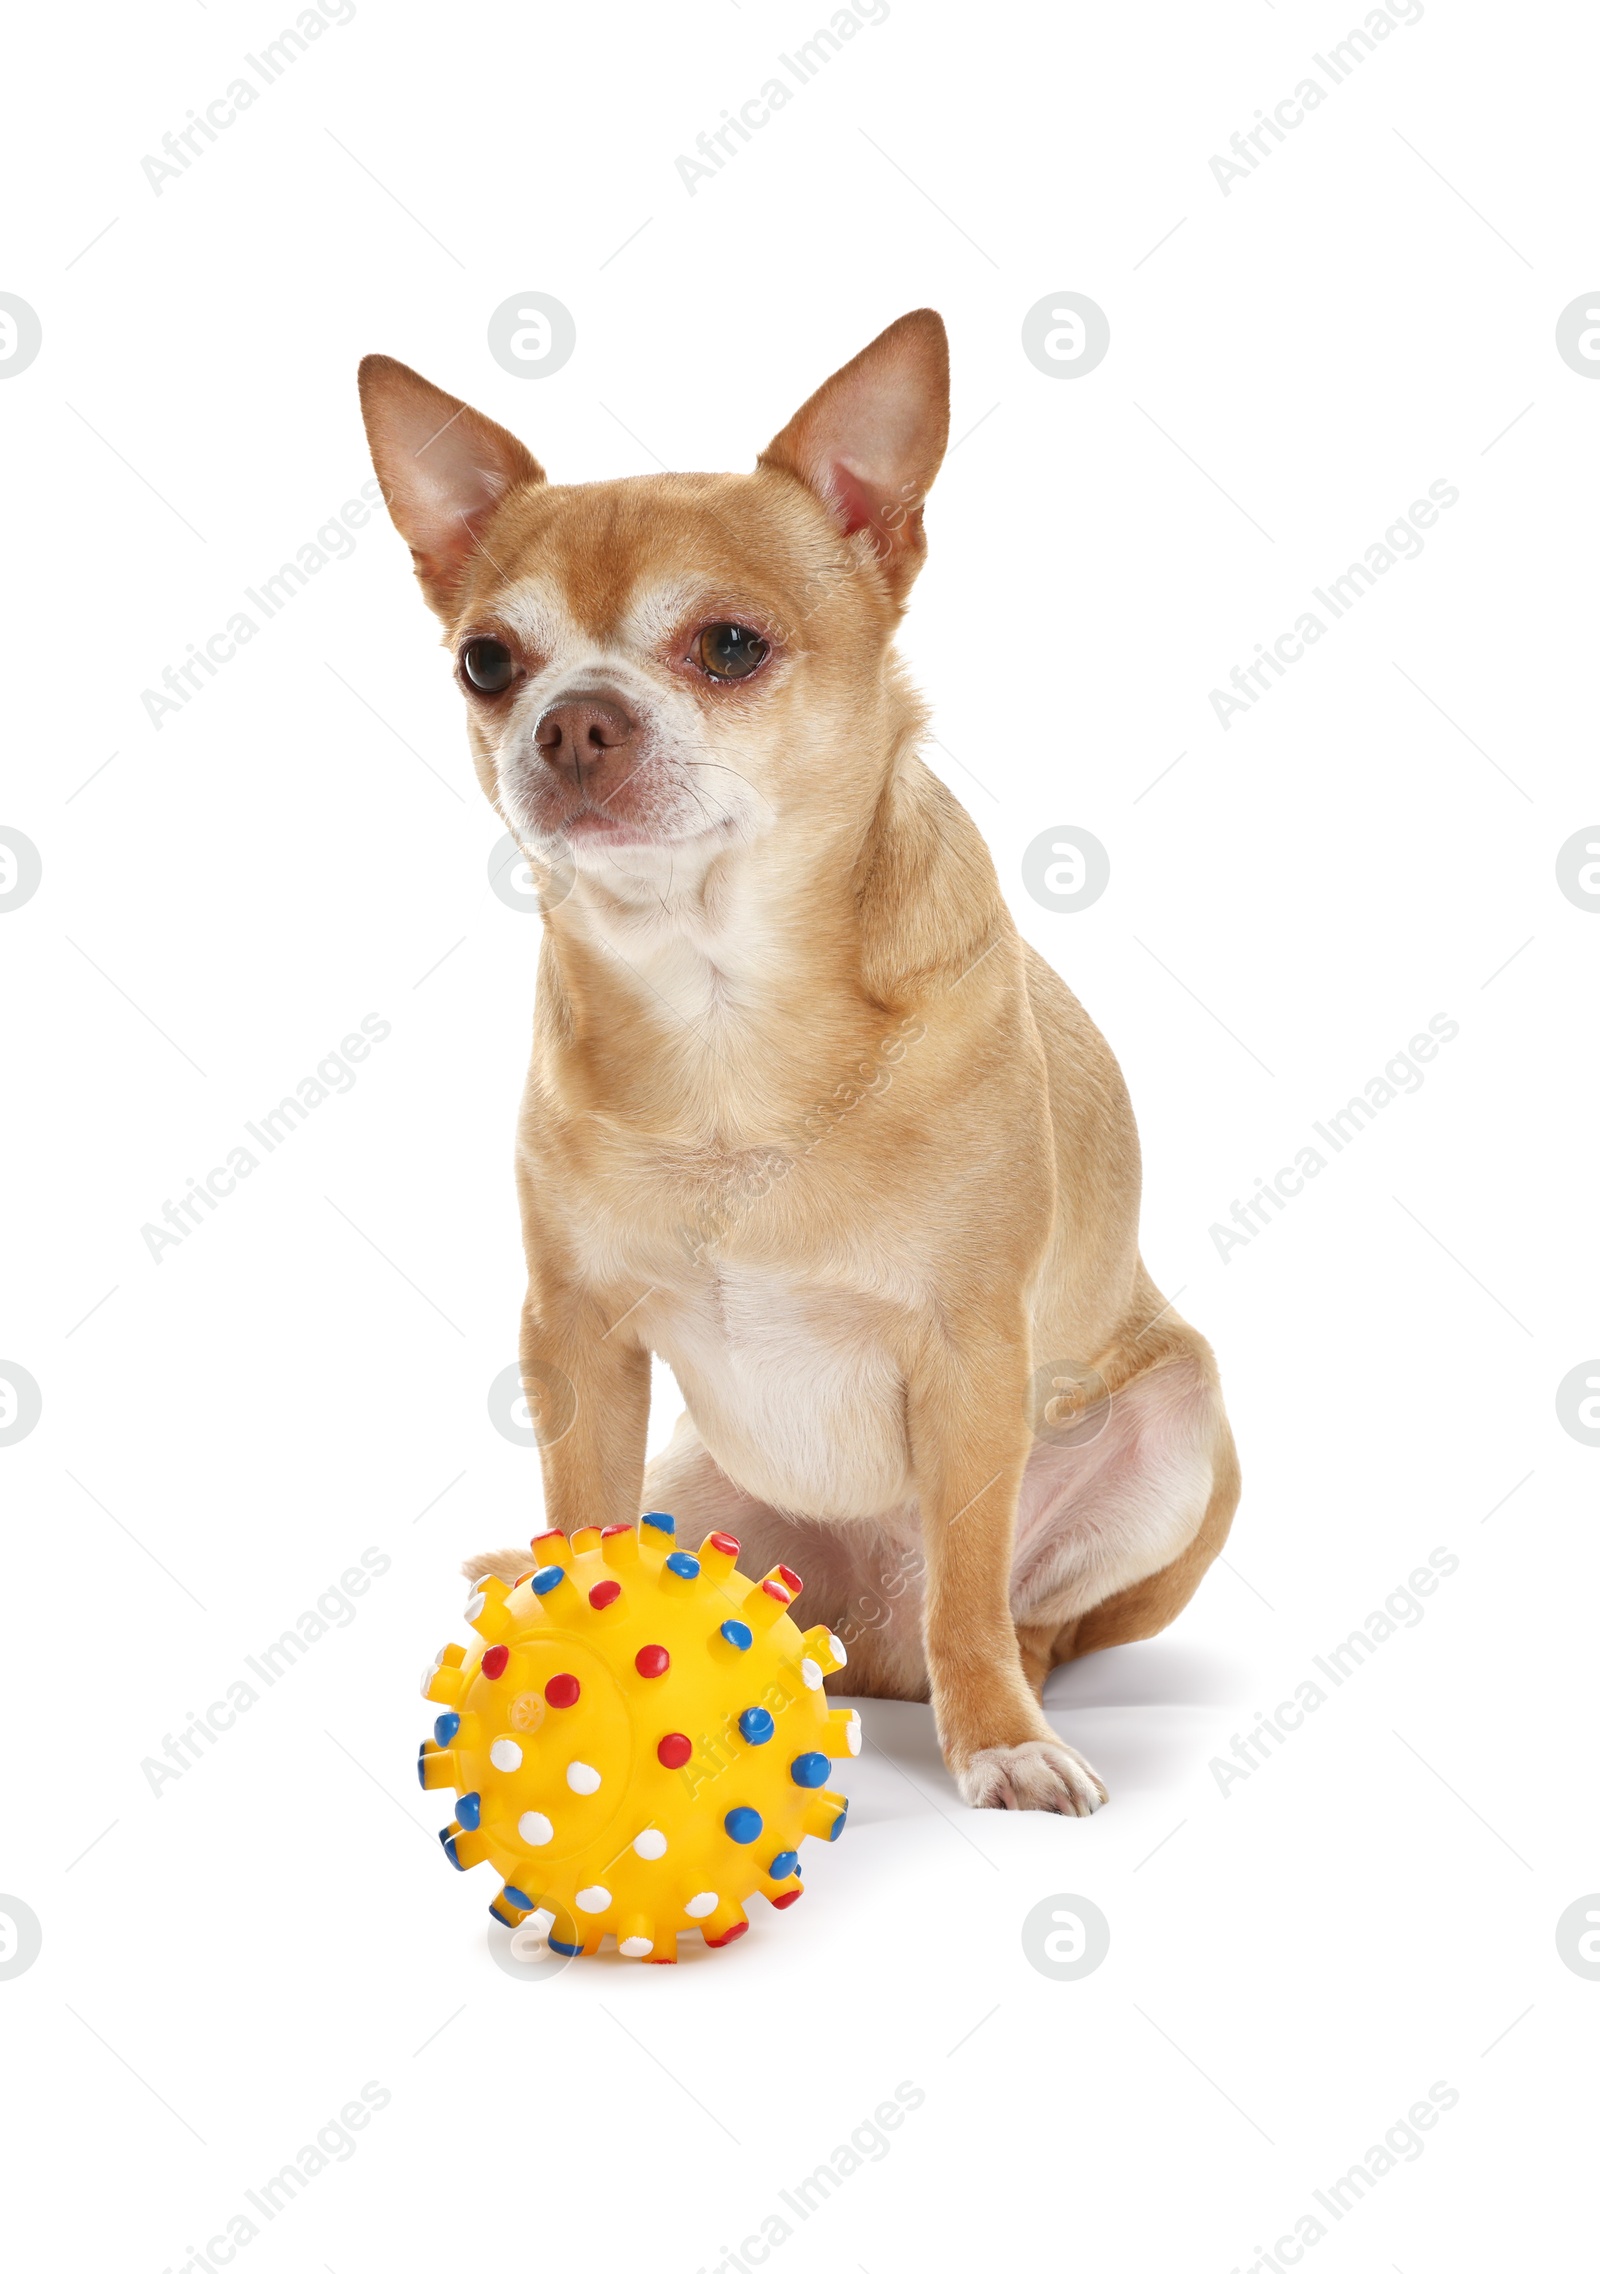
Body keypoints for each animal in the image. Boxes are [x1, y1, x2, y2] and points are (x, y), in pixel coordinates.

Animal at [359, 311, 1236, 1819]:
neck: (723, 1010)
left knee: (997, 1607)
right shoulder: (577, 1344)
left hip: (1176, 1421)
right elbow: (577, 1522)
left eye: (728, 645)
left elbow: (972, 1585)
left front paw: (999, 1739)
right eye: (488, 662)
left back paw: (1000, 1684)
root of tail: (855, 1637)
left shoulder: (972, 1354)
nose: (570, 719)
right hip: (702, 1485)